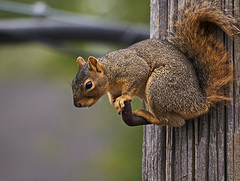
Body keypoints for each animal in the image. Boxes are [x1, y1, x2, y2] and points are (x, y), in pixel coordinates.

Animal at [72, 2, 239, 127]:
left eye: (88, 85)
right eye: (73, 83)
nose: (77, 104)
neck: (110, 70)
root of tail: (199, 101)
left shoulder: (133, 68)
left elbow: (136, 77)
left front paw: (123, 98)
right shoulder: (113, 89)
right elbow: (113, 96)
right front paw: (115, 103)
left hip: (159, 86)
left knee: (162, 119)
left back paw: (146, 114)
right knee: (174, 121)